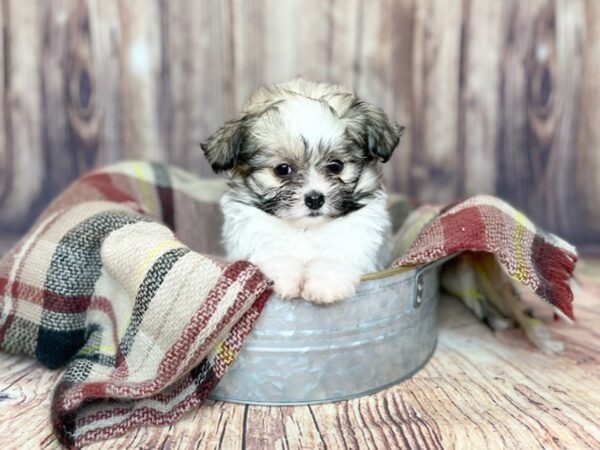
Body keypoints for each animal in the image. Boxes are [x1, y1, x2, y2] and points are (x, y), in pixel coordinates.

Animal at [202, 79, 404, 304]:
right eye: (282, 169)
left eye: (336, 166)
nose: (315, 199)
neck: (306, 230)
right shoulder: (253, 233)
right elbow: (273, 253)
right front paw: (285, 279)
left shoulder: (357, 236)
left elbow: (336, 254)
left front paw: (325, 285)